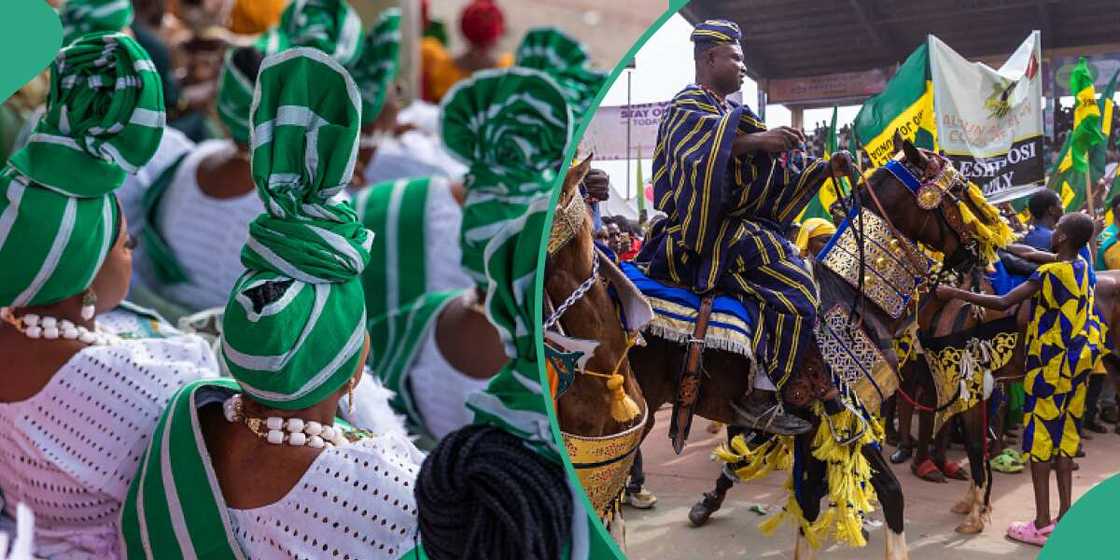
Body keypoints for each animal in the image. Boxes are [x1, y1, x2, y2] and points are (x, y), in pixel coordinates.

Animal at [631, 136, 999, 560]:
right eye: (958, 192)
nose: (980, 254)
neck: (854, 296)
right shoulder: (847, 413)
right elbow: (891, 493)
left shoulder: (813, 421)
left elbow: (808, 499)